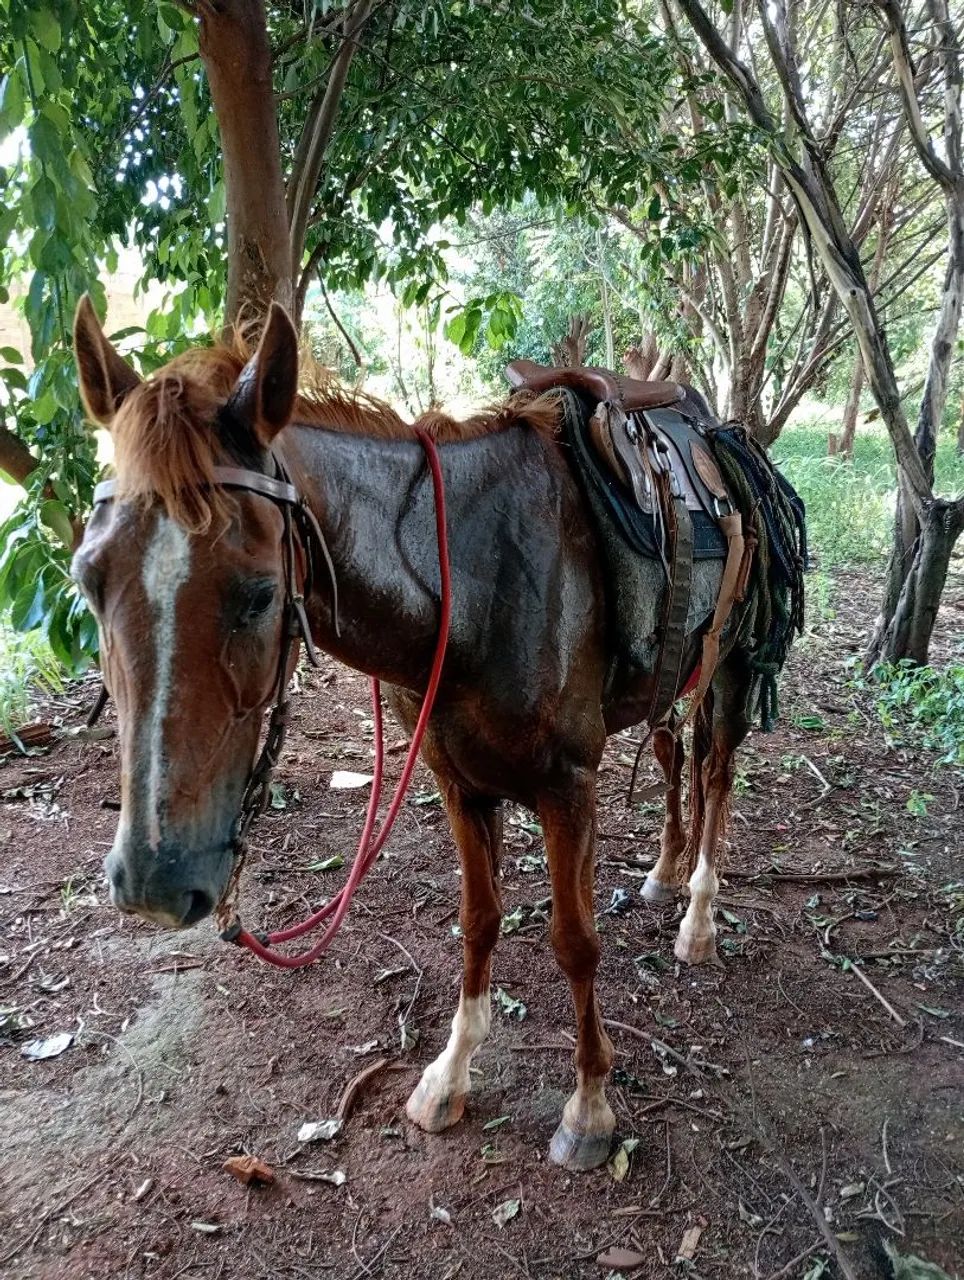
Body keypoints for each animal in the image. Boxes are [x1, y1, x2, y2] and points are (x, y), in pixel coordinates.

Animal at [70, 296, 796, 1173]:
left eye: (260, 593)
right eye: (87, 578)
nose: (152, 882)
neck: (477, 581)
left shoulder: (568, 787)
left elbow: (575, 940)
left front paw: (589, 1107)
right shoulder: (459, 781)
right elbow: (478, 922)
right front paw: (449, 1076)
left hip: (731, 668)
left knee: (716, 773)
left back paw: (698, 916)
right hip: (672, 676)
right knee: (669, 754)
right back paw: (662, 872)